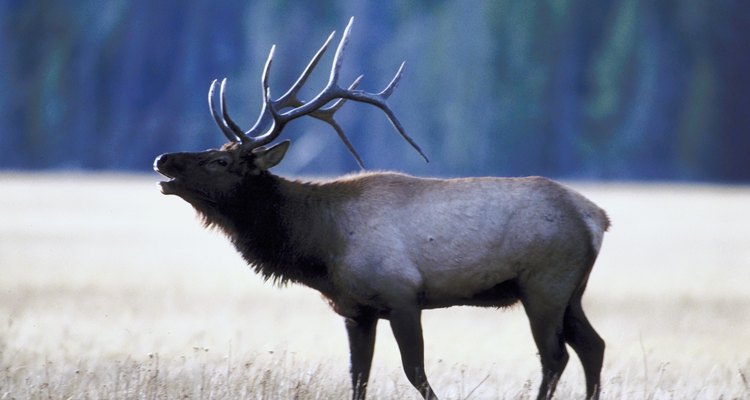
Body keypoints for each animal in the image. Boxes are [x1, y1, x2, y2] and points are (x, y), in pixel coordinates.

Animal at [154, 17, 612, 398]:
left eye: (220, 161)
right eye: (214, 149)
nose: (162, 159)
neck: (321, 245)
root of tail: (596, 217)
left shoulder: (402, 295)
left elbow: (416, 373)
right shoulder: (356, 311)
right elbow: (359, 377)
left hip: (545, 284)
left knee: (556, 357)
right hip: (572, 291)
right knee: (594, 346)